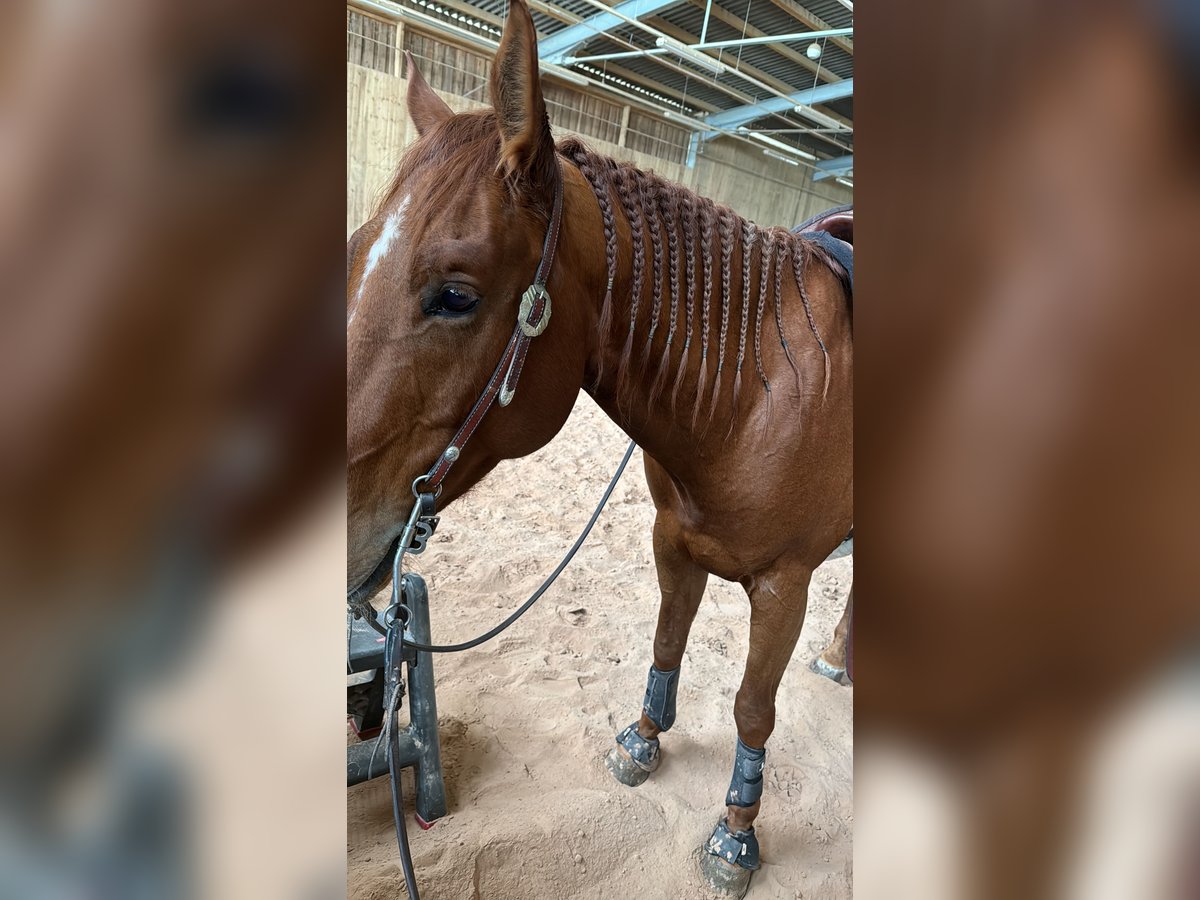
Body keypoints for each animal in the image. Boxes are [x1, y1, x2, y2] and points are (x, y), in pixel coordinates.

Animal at [348, 0, 854, 888]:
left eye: (455, 295)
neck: (749, 398)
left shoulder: (783, 585)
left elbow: (753, 708)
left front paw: (736, 831)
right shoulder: (674, 541)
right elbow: (665, 642)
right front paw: (643, 742)